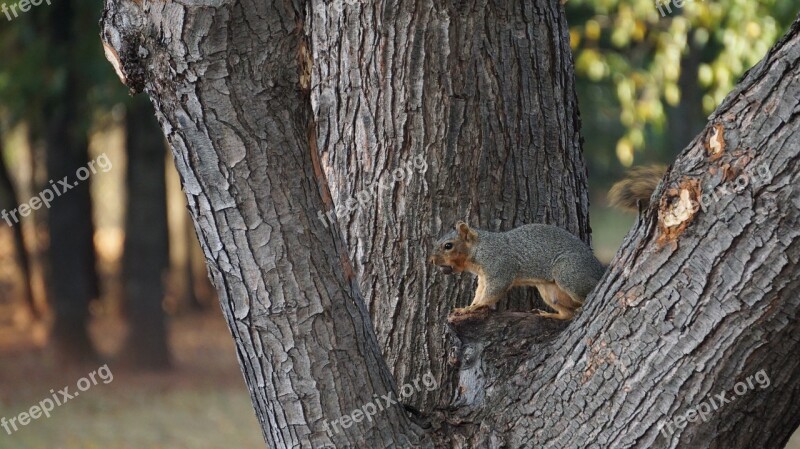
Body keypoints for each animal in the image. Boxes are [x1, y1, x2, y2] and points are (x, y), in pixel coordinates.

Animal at [432, 164, 664, 316]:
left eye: (448, 246)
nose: (432, 261)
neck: (479, 248)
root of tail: (599, 269)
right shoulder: (483, 276)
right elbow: (480, 291)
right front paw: (468, 305)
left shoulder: (499, 265)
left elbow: (494, 290)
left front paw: (473, 308)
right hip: (550, 292)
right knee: (566, 315)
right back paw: (549, 314)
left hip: (569, 274)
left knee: (583, 296)